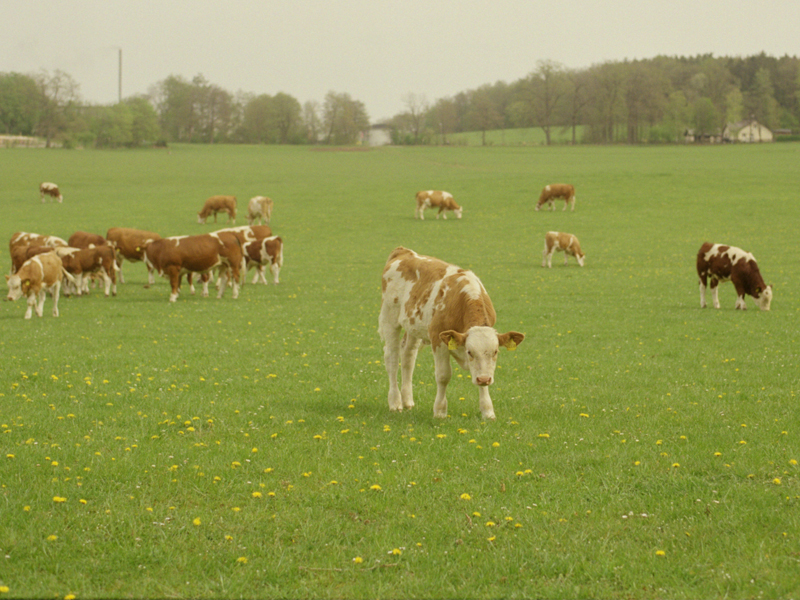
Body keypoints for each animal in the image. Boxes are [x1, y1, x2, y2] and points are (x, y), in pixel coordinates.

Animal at [380, 246, 524, 420]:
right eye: (470, 352)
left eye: (495, 352)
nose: (484, 379)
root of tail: (404, 251)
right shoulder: (438, 338)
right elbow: (443, 376)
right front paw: (440, 411)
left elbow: (482, 373)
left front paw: (487, 410)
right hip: (390, 318)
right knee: (392, 358)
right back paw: (395, 402)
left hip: (413, 327)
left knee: (408, 356)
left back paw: (407, 400)